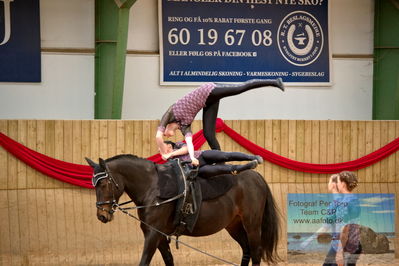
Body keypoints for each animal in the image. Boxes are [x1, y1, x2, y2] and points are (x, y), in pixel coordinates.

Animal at [86, 155, 282, 264]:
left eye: (103, 184)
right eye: (94, 184)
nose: (101, 215)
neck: (153, 187)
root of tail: (256, 177)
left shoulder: (153, 233)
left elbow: (144, 261)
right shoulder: (158, 234)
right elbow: (168, 260)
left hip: (252, 226)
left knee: (255, 253)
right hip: (234, 226)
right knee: (247, 251)